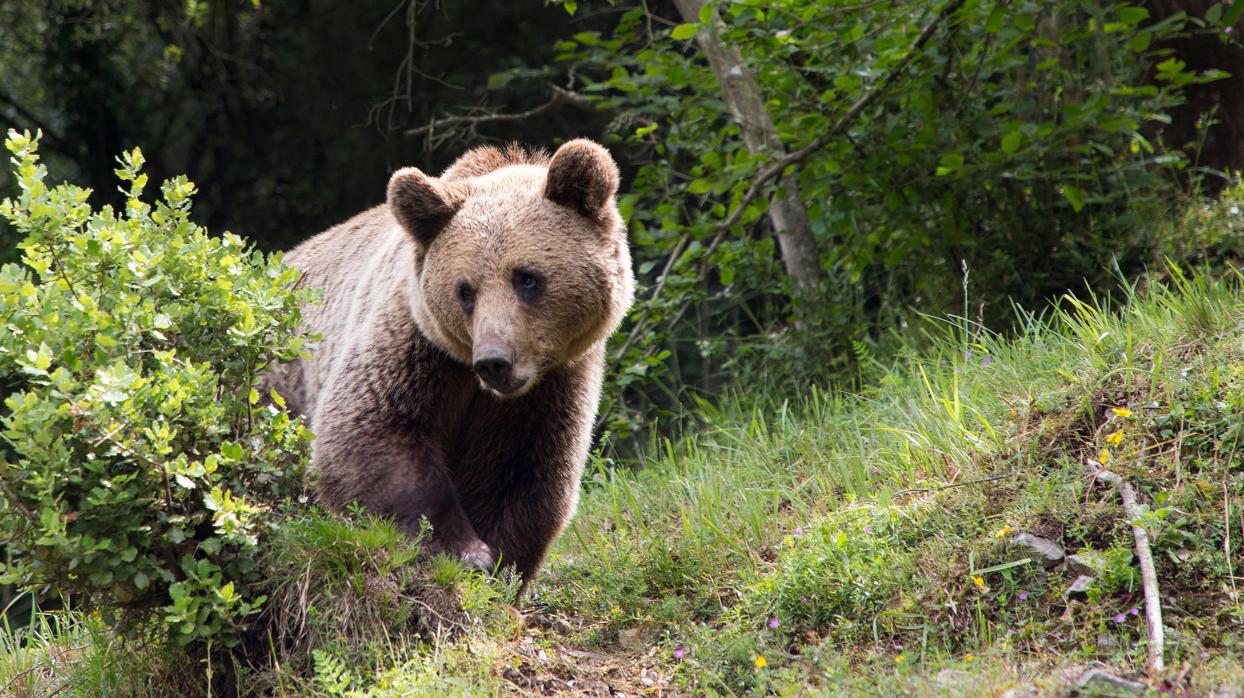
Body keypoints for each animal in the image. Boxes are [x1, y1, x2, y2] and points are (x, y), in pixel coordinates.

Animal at [262, 138, 631, 579]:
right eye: (465, 290)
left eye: (527, 278)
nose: (494, 361)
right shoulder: (416, 344)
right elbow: (371, 432)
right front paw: (463, 549)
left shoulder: (551, 386)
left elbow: (522, 472)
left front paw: (499, 562)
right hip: (280, 383)